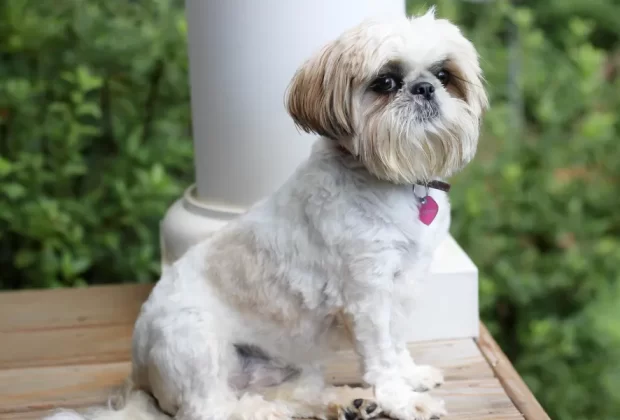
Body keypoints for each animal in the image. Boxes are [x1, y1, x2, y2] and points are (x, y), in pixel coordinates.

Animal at [46, 5, 486, 420]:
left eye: (444, 74)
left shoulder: (403, 285)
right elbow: (382, 357)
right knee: (208, 409)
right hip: (196, 340)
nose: (425, 88)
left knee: (293, 393)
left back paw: (345, 402)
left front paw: (411, 377)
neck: (392, 179)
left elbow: (397, 344)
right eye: (386, 83)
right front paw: (403, 400)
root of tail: (139, 377)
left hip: (291, 364)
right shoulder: (368, 296)